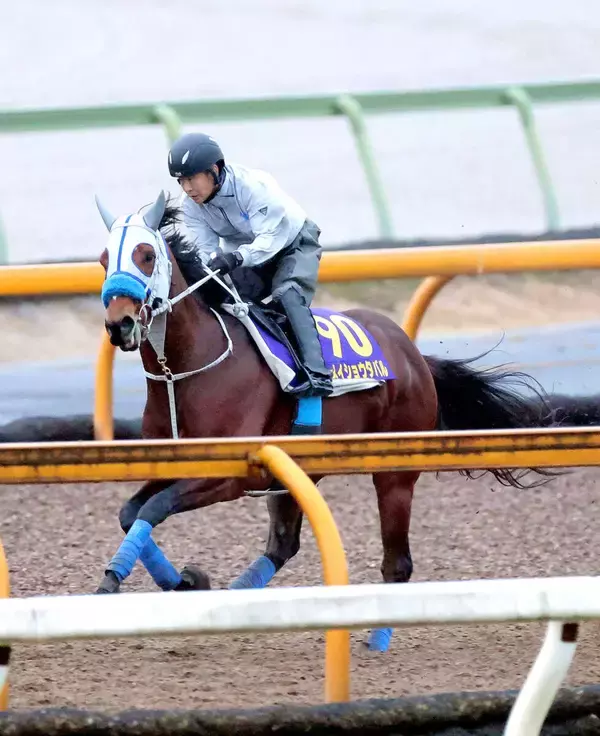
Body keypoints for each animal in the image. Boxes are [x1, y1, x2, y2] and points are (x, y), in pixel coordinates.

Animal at [93, 190, 558, 652]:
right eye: (102, 259)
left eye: (146, 255)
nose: (120, 325)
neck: (184, 369)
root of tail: (413, 355)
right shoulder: (175, 465)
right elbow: (131, 512)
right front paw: (184, 583)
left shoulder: (229, 474)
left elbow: (153, 508)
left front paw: (115, 581)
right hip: (299, 471)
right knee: (283, 545)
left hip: (395, 474)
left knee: (397, 563)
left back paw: (376, 643)